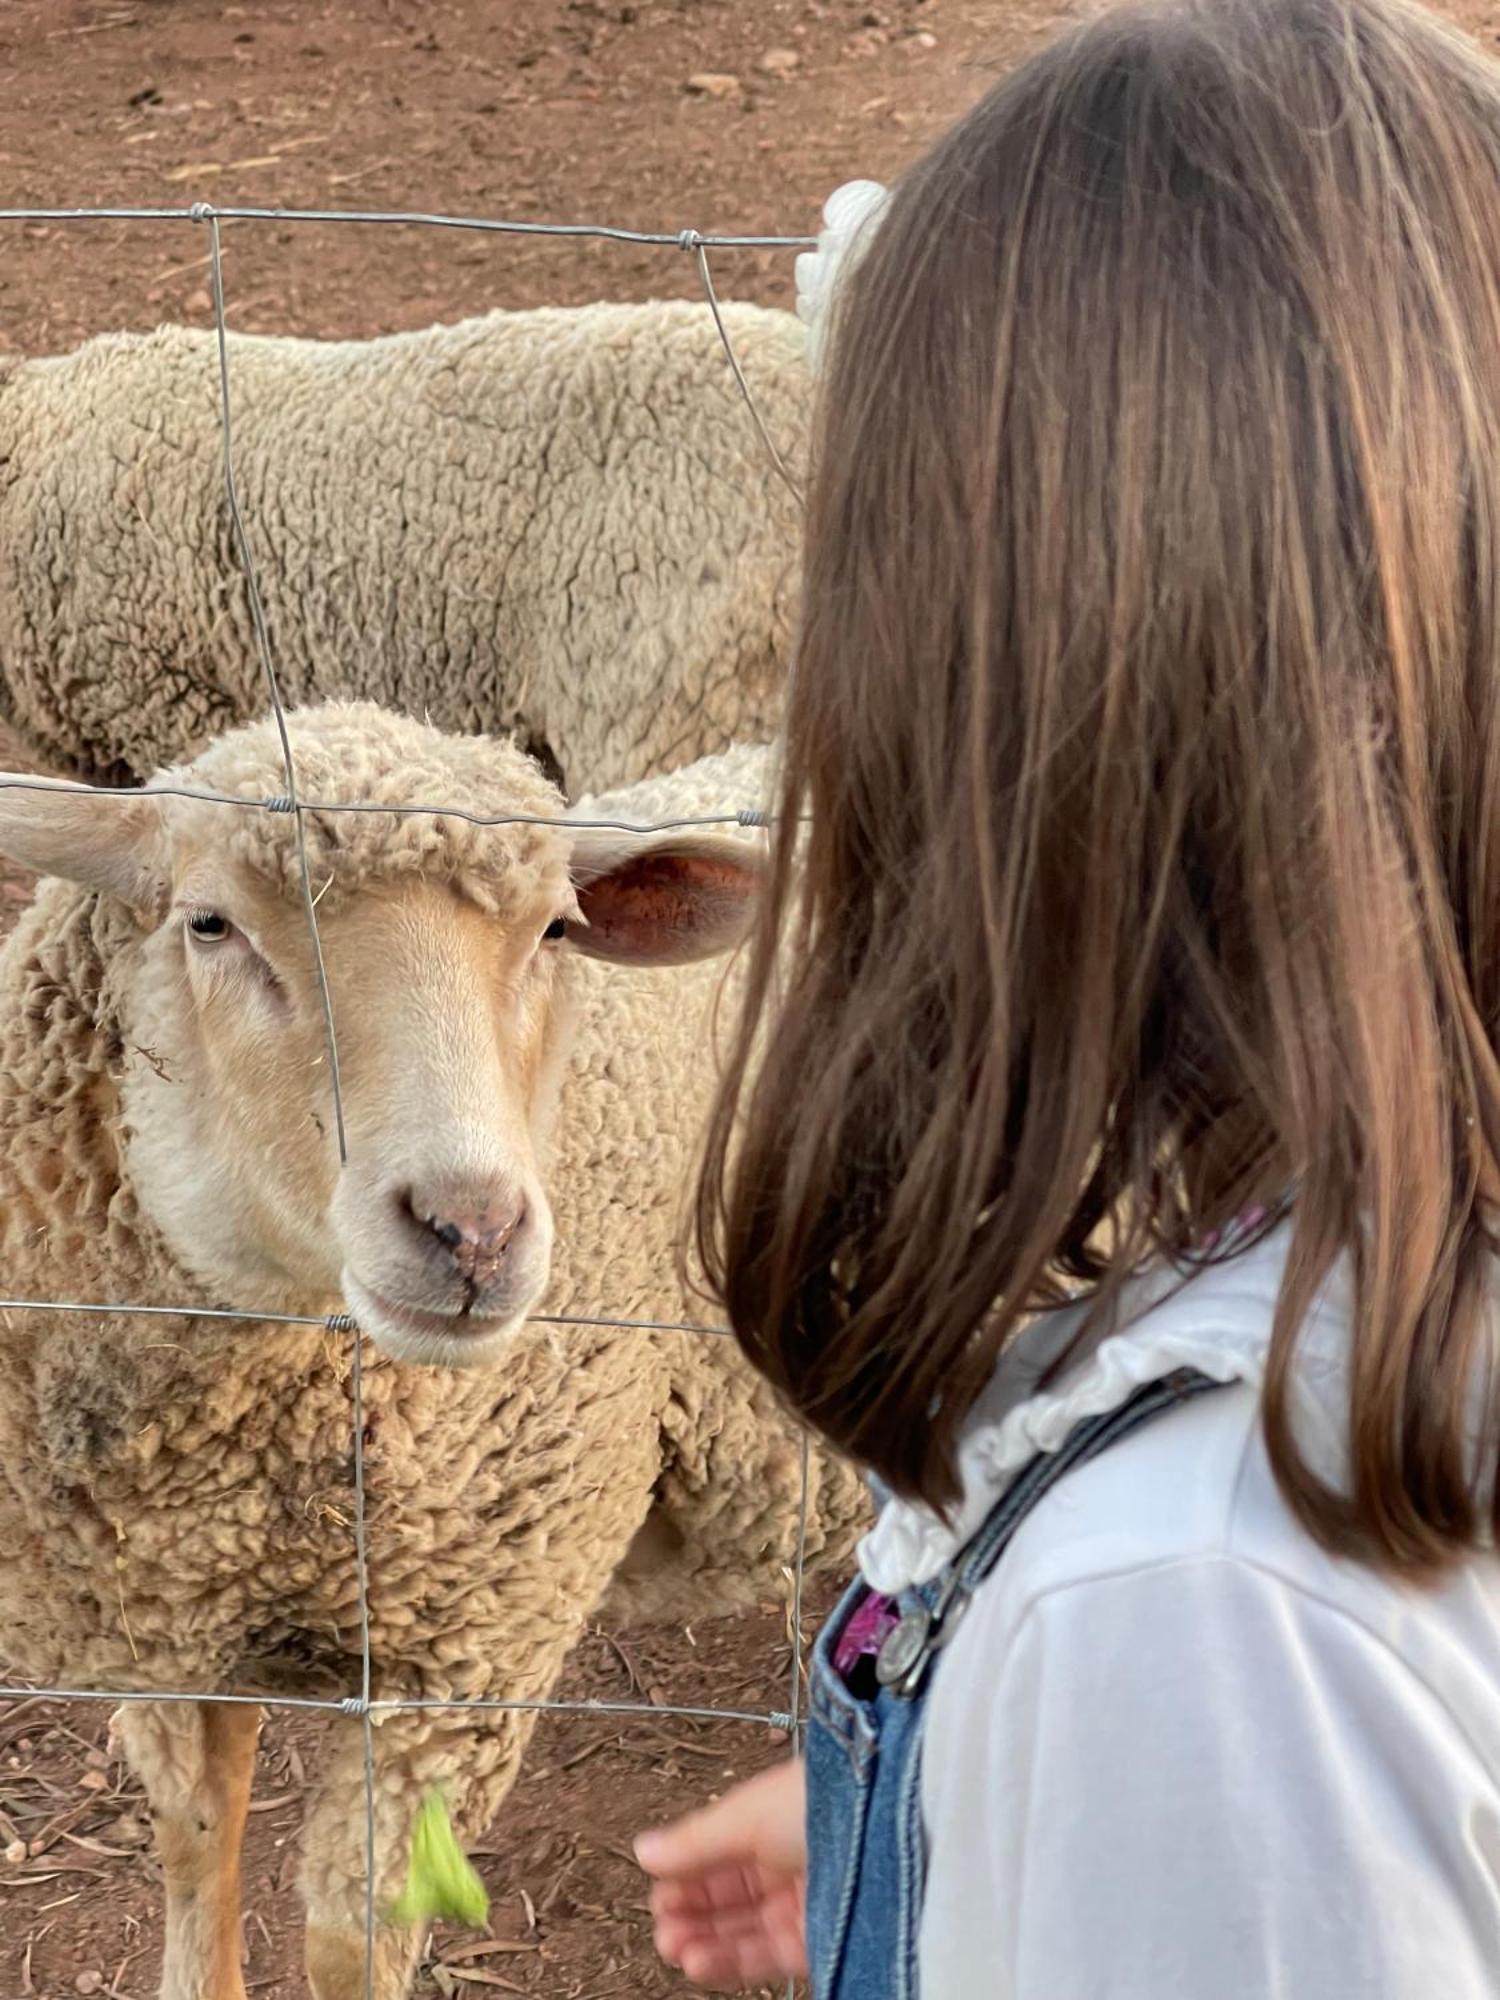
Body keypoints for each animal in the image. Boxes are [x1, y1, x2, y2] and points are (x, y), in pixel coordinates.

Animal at [0, 712, 868, 2000]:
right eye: (209, 923)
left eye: (558, 930)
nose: (474, 1230)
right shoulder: (167, 1619)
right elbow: (194, 1831)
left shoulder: (467, 1658)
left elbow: (353, 1937)